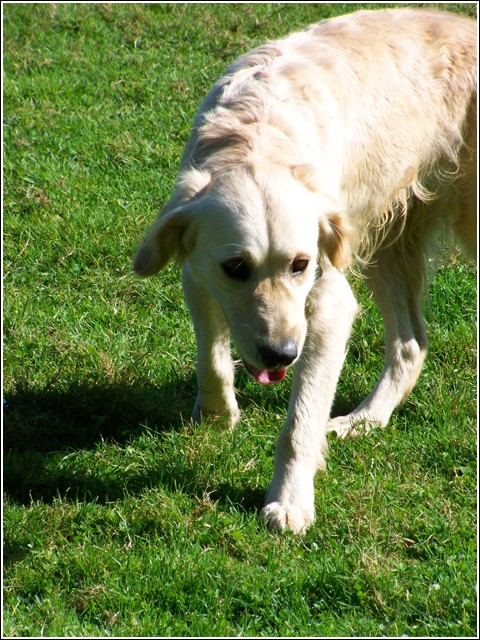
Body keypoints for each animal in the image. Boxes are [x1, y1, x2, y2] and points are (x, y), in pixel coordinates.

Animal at [132, 8, 476, 536]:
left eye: (301, 265)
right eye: (236, 267)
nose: (281, 355)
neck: (257, 135)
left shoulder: (329, 305)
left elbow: (300, 422)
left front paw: (290, 500)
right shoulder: (197, 271)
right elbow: (211, 357)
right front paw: (215, 415)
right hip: (389, 240)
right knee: (411, 343)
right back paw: (364, 419)